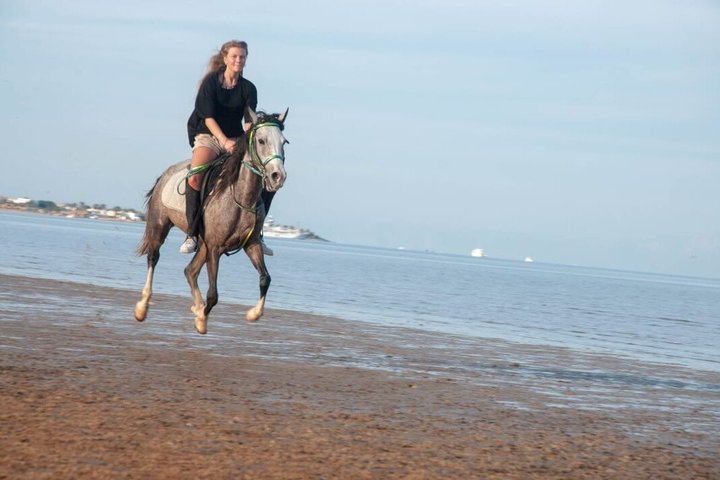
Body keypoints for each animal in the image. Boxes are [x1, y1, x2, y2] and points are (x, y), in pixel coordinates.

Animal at [134, 108, 289, 334]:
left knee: (190, 271)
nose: (278, 176)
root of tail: (165, 174)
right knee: (153, 258)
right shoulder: (215, 248)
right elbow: (213, 294)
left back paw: (196, 305)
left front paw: (253, 314)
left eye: (284, 142)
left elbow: (265, 279)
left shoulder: (251, 244)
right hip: (159, 225)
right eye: (261, 140)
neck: (240, 197)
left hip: (203, 245)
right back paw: (142, 308)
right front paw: (201, 320)